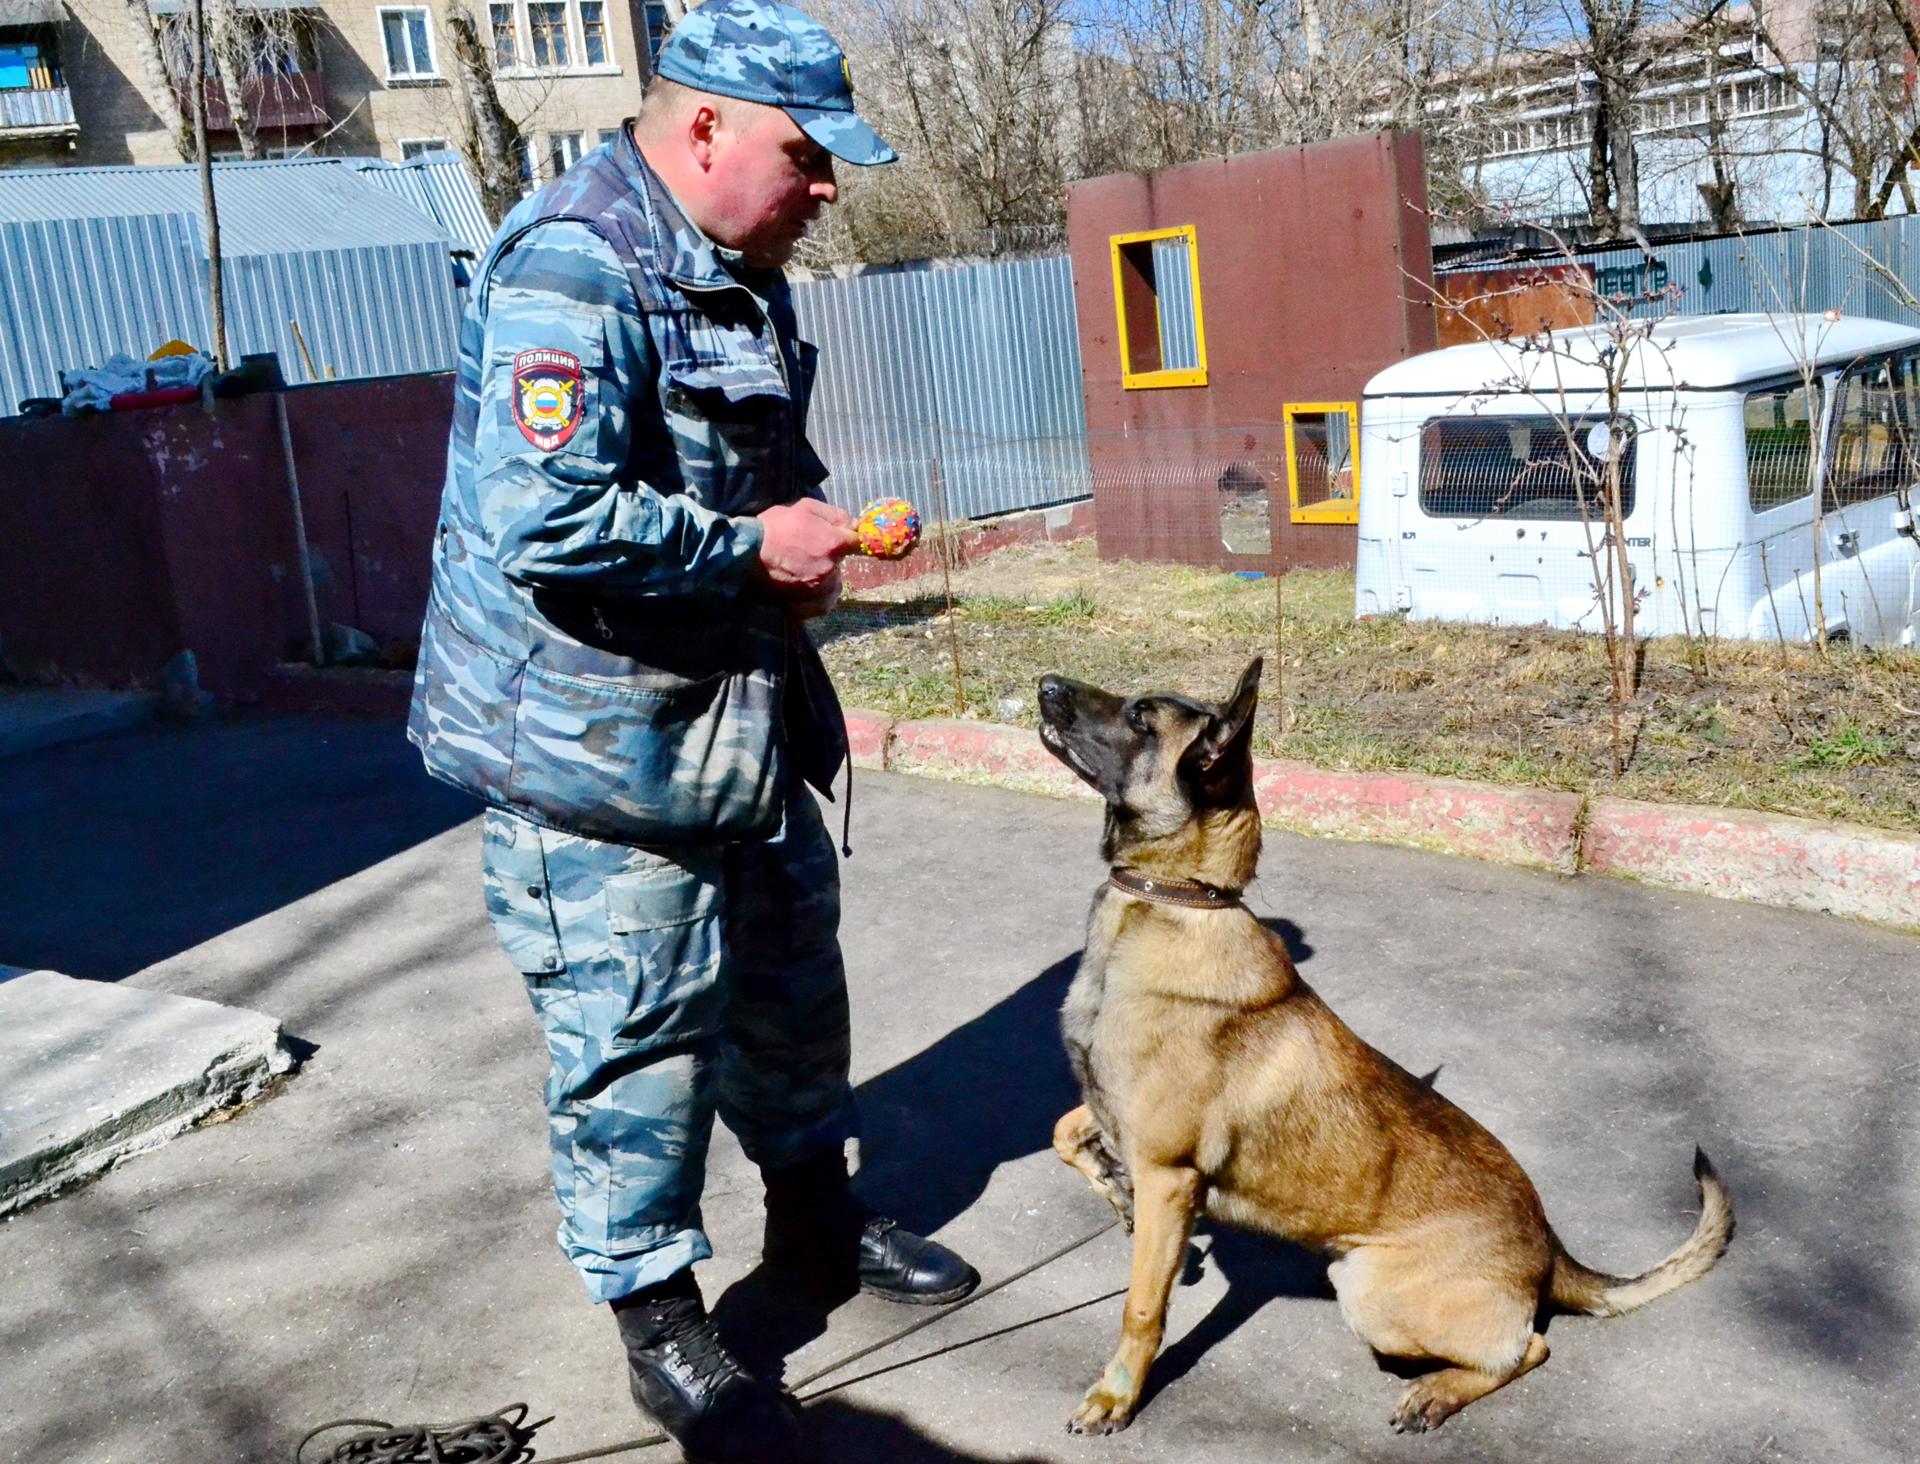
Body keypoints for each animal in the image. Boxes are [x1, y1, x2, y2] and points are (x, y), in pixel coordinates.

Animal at [1044, 664, 1735, 1437]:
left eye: (1140, 717)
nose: (1045, 685)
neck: (1177, 900)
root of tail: (1548, 1247)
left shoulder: (1168, 1172)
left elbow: (1141, 1308)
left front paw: (1117, 1395)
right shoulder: (1120, 1122)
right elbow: (1064, 1132)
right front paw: (1112, 1190)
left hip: (1369, 1292)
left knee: (1530, 1346)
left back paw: (1437, 1391)